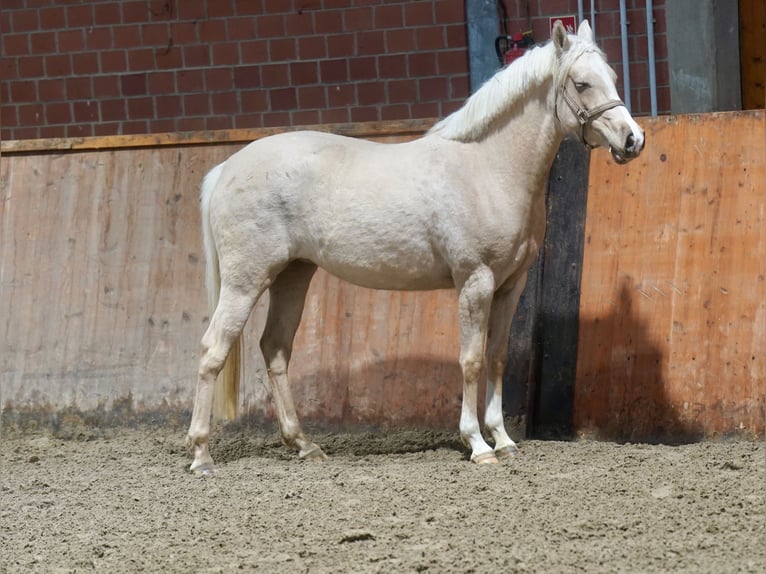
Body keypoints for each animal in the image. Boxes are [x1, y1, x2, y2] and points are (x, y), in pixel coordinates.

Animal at [186, 20, 644, 474]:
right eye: (582, 83)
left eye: (613, 77)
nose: (633, 140)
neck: (487, 167)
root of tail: (226, 167)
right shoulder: (475, 281)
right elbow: (471, 360)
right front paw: (478, 445)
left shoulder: (511, 284)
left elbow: (496, 357)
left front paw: (504, 440)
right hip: (246, 280)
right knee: (212, 349)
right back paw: (201, 454)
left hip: (293, 275)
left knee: (276, 350)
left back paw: (304, 445)